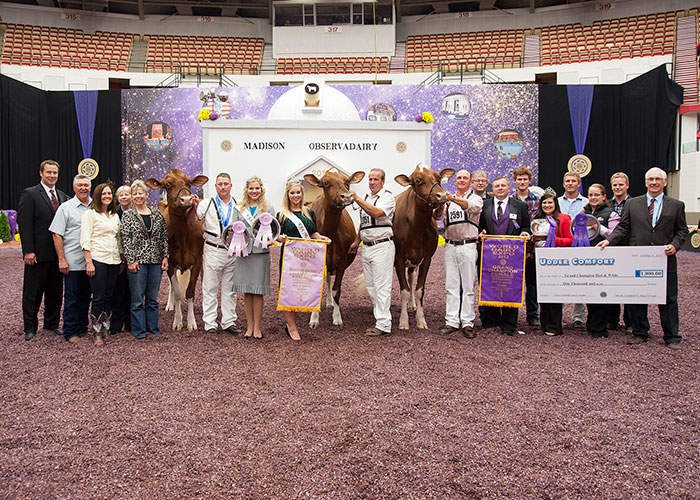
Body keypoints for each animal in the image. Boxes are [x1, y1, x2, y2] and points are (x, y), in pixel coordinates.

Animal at [144, 168, 206, 332]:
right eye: (167, 184)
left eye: (189, 182)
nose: (187, 200)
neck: (182, 234)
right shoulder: (170, 262)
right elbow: (178, 292)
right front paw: (178, 321)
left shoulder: (198, 260)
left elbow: (190, 291)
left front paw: (191, 322)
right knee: (173, 286)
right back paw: (170, 305)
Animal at [302, 168, 364, 328]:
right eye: (325, 182)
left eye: (347, 181)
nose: (346, 196)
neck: (330, 232)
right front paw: (314, 319)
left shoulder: (342, 260)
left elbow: (336, 290)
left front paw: (337, 317)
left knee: (329, 279)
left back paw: (329, 302)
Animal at [394, 163, 454, 328]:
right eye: (418, 180)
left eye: (439, 177)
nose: (442, 195)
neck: (417, 226)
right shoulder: (398, 258)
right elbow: (404, 290)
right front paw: (403, 321)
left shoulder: (427, 258)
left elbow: (419, 289)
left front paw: (421, 320)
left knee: (411, 278)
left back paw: (411, 305)